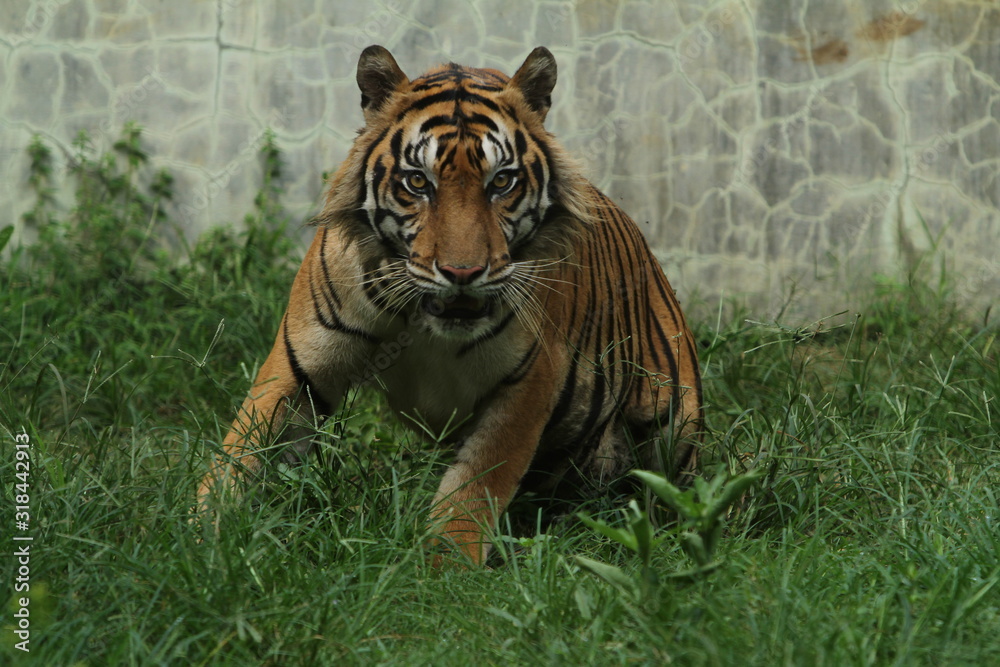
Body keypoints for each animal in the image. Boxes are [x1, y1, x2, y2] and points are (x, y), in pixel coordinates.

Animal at [197, 45, 703, 565]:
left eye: (502, 182)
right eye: (418, 182)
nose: (462, 273)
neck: (423, 320)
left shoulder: (527, 382)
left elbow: (474, 489)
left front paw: (440, 568)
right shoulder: (299, 367)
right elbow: (244, 451)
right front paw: (202, 540)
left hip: (675, 423)